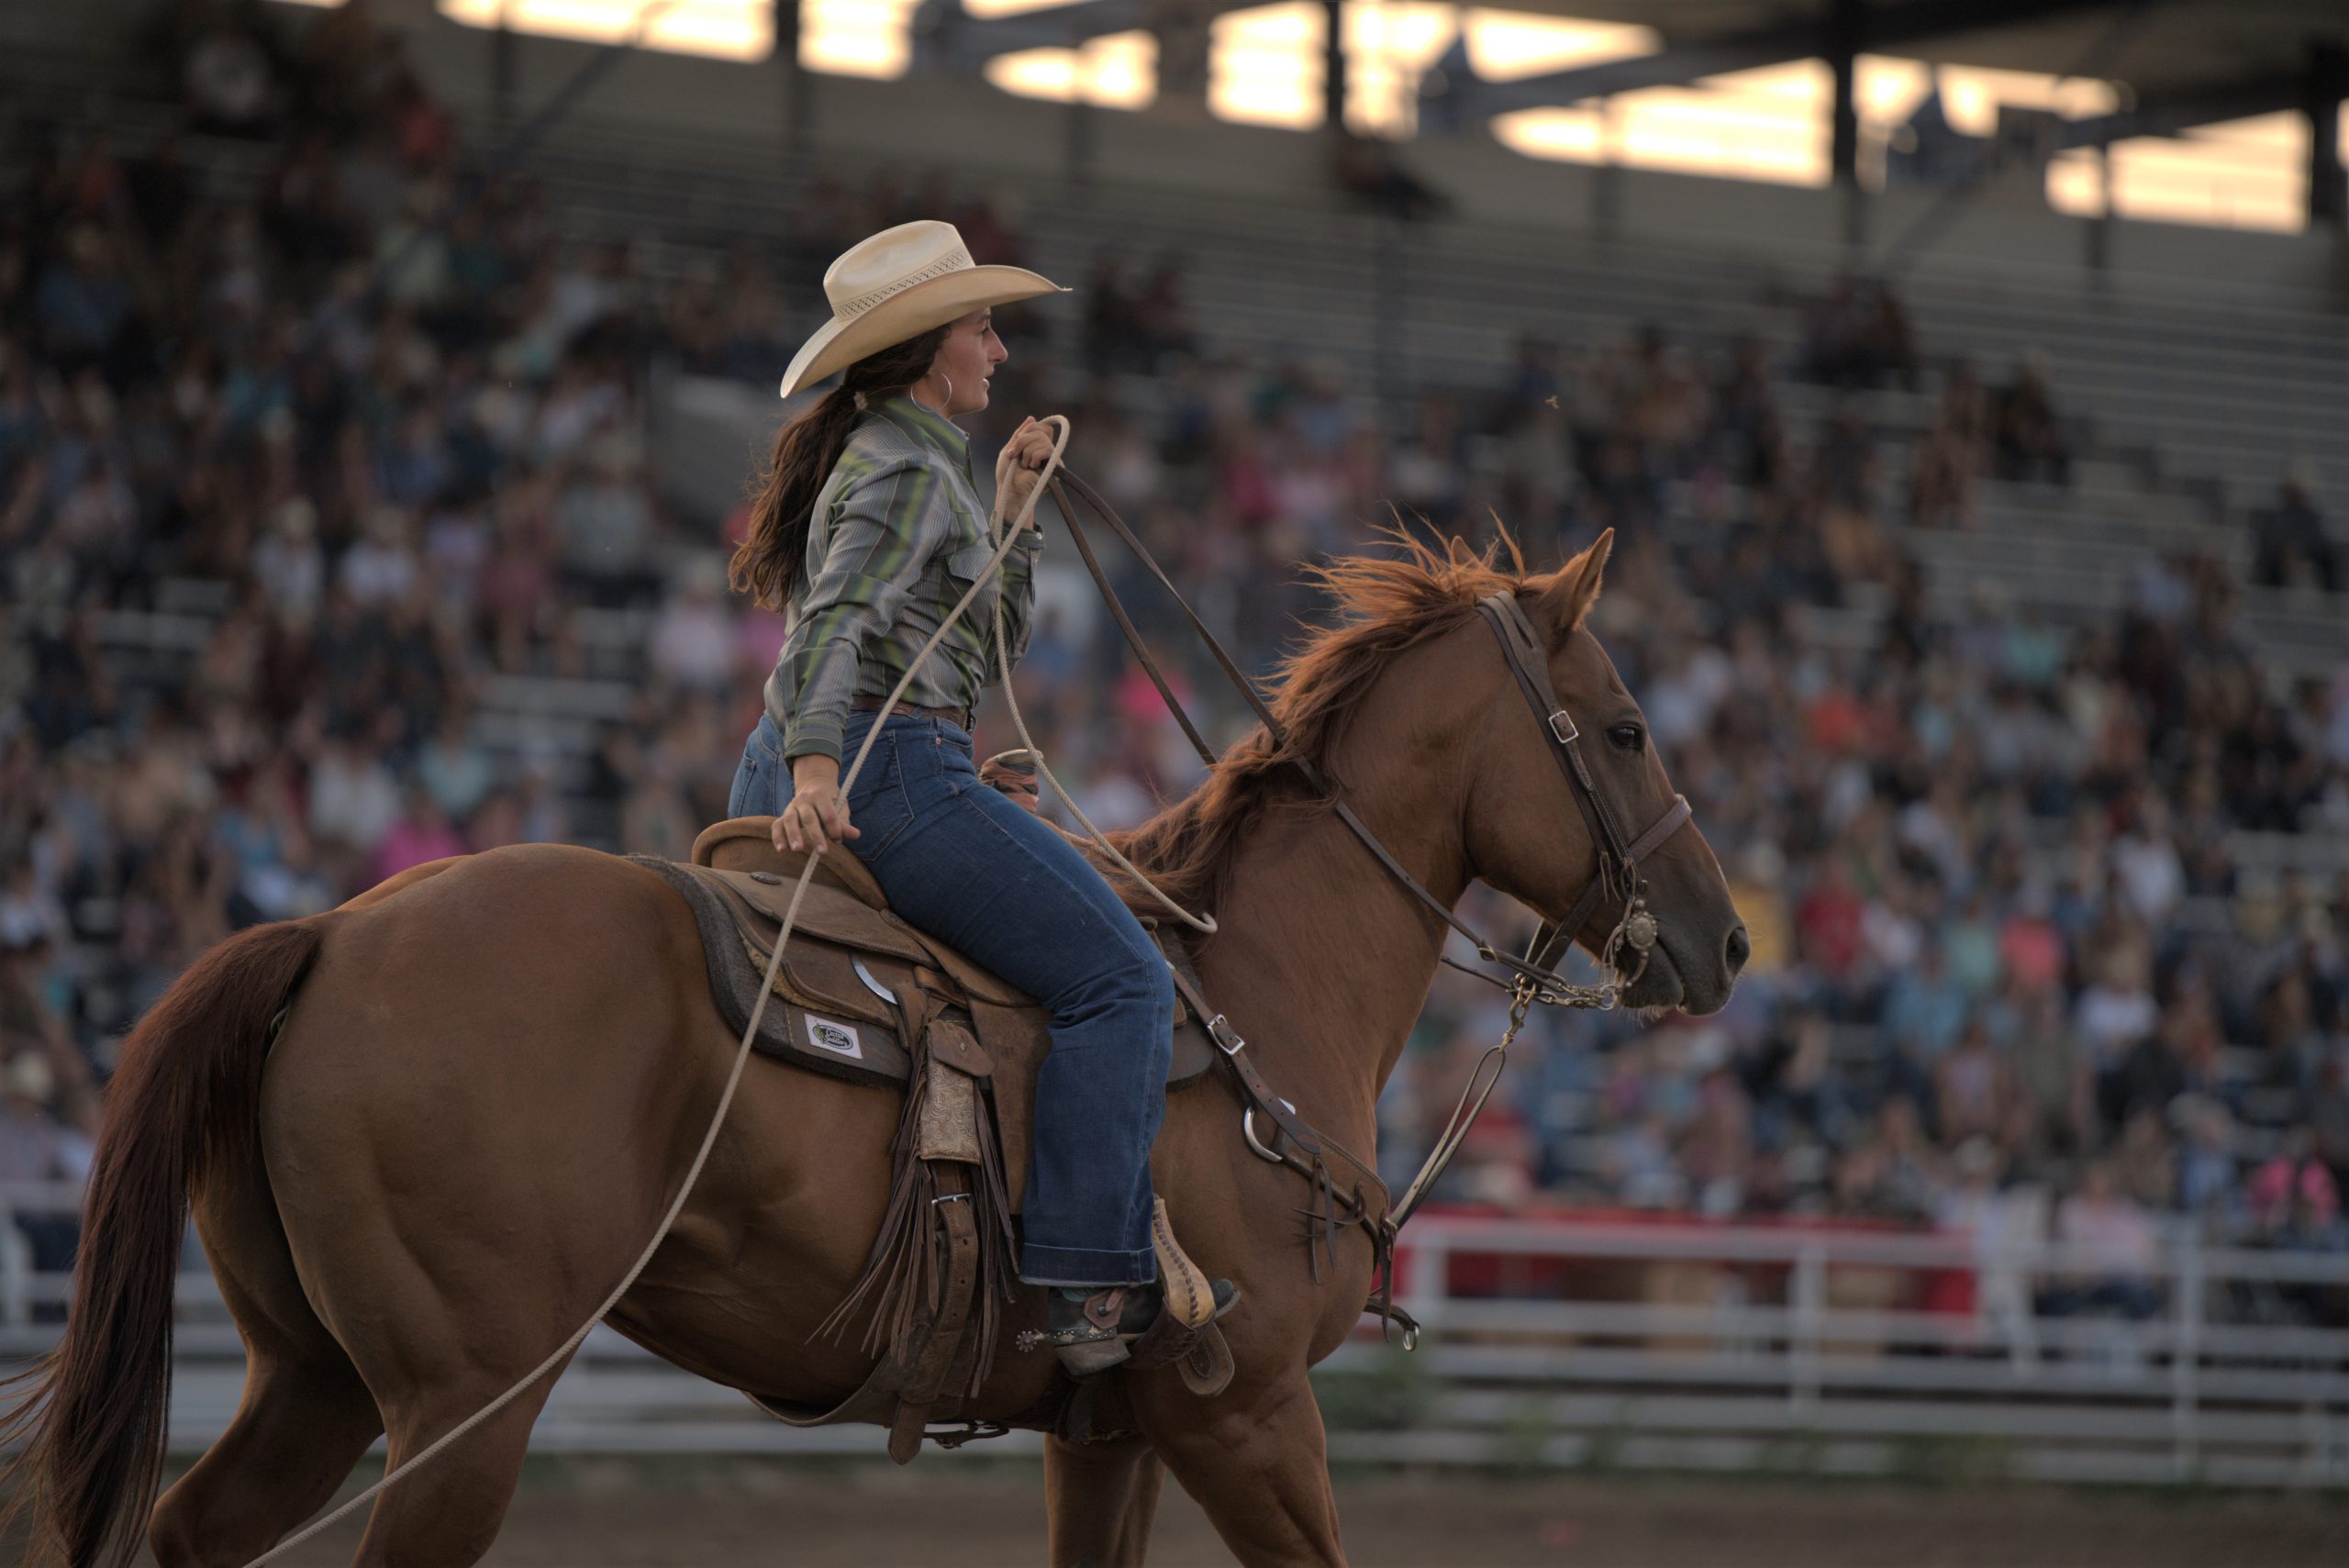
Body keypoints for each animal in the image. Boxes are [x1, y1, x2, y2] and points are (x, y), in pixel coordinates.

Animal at [0, 530, 1747, 1568]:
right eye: (1625, 726)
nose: (1727, 941)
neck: (1259, 983)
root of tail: (329, 932)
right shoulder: (1248, 1412)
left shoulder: (1122, 1429)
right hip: (463, 1400)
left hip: (313, 1376)